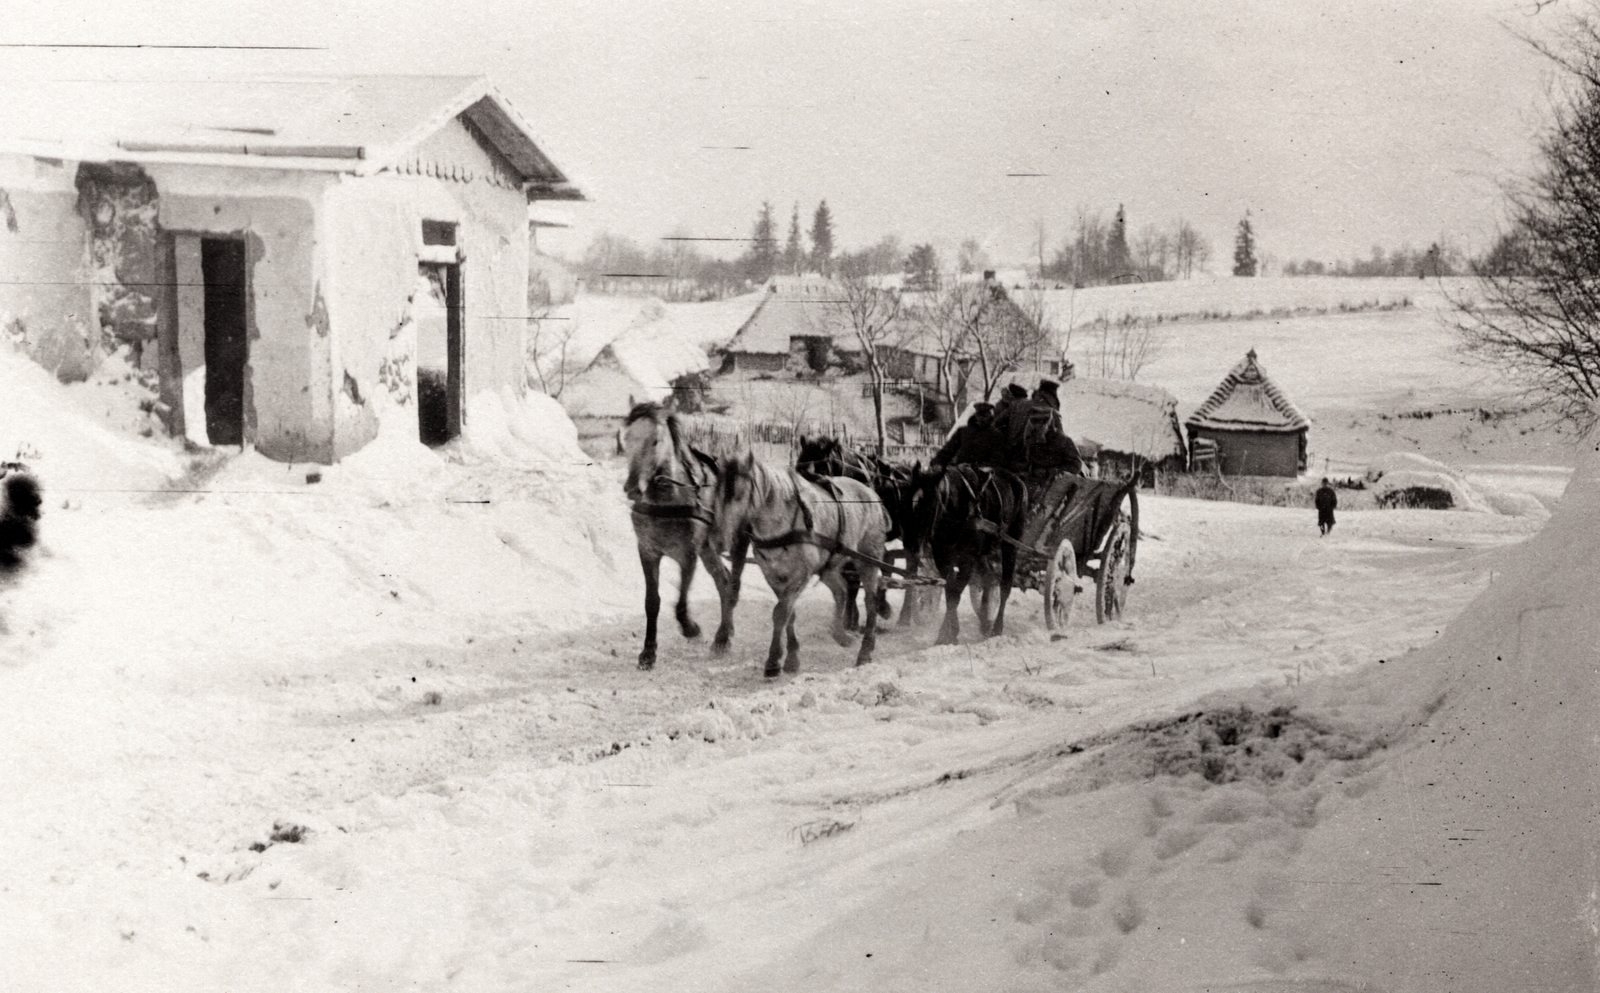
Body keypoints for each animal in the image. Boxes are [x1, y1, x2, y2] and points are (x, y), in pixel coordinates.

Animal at [624, 404, 748, 674]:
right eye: (626, 439)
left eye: (655, 441)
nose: (631, 488)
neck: (668, 499)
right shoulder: (647, 551)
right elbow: (652, 602)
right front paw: (648, 654)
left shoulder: (688, 554)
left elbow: (680, 604)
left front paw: (691, 628)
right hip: (708, 549)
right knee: (723, 580)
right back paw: (724, 634)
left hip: (735, 543)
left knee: (732, 584)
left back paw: (723, 637)